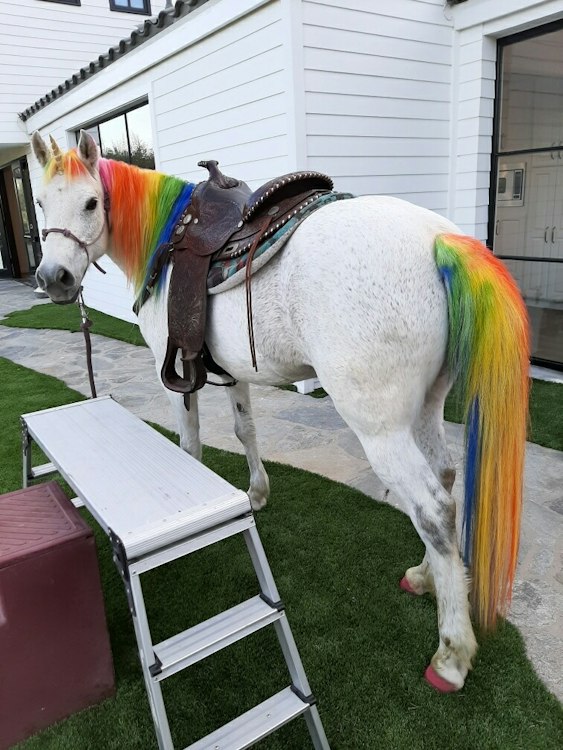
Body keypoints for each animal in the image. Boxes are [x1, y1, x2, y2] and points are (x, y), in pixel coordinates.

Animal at [30, 130, 530, 693]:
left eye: (92, 202)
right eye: (41, 202)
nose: (54, 278)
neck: (167, 242)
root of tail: (437, 237)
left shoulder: (175, 373)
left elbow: (190, 445)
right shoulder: (232, 374)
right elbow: (244, 429)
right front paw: (256, 493)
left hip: (381, 428)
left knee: (433, 508)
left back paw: (451, 654)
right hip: (426, 404)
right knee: (444, 478)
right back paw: (427, 576)